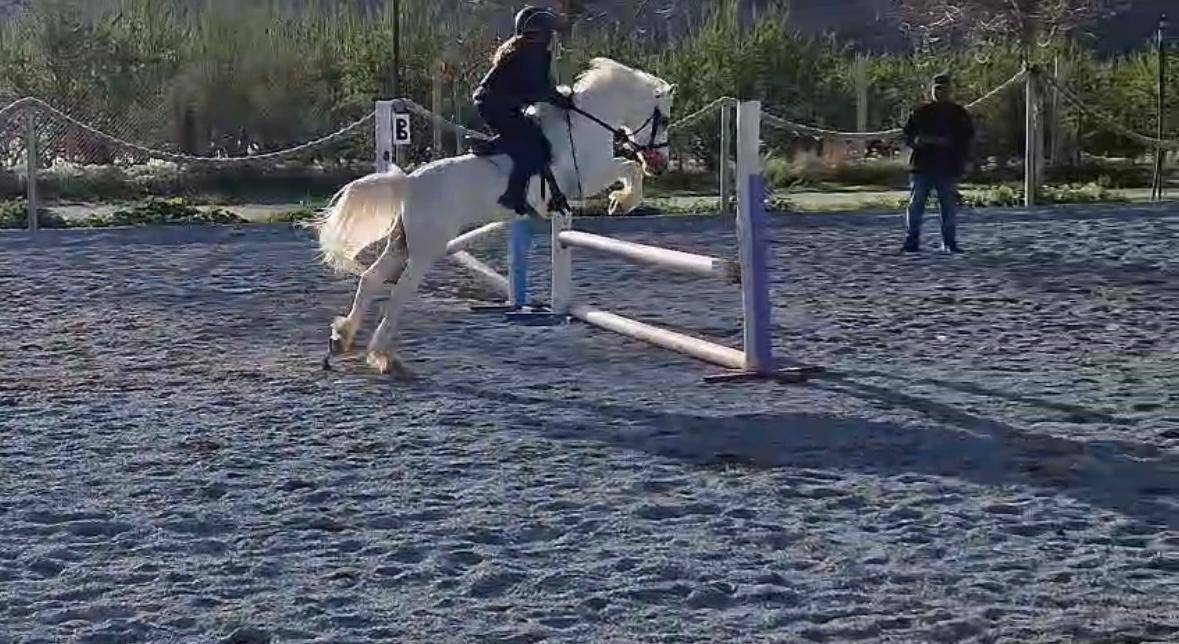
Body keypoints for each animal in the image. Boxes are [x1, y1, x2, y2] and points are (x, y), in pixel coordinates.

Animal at [314, 57, 675, 375]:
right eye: (665, 120)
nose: (660, 164)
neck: (584, 125)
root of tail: (408, 182)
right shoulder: (588, 178)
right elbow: (628, 167)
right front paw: (623, 202)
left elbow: (627, 167)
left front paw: (623, 200)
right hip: (426, 249)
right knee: (399, 292)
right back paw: (382, 357)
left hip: (402, 244)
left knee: (371, 278)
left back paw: (340, 339)